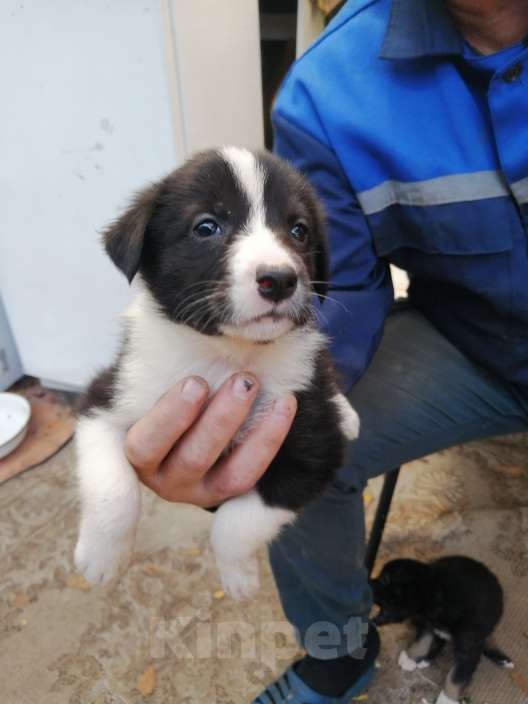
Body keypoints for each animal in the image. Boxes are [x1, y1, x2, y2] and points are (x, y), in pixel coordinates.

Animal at [74, 147, 358, 600]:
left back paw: (347, 415)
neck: (228, 356)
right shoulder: (110, 395)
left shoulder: (313, 453)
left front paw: (238, 576)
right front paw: (101, 561)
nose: (280, 279)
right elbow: (113, 489)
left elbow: (235, 523)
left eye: (298, 230)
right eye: (206, 226)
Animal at [370, 560, 512, 700]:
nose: (367, 581)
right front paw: (411, 657)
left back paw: (502, 658)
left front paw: (447, 699)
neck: (437, 594)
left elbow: (457, 677)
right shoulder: (427, 622)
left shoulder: (469, 647)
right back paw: (426, 659)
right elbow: (422, 642)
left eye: (385, 579)